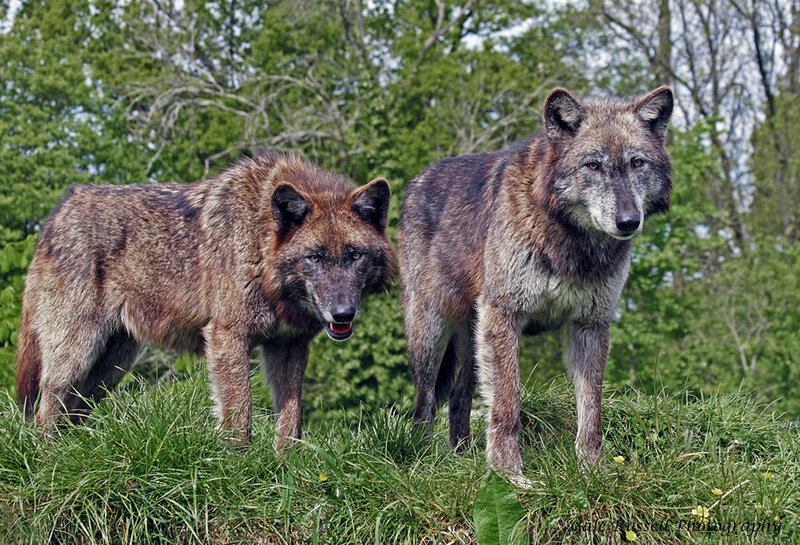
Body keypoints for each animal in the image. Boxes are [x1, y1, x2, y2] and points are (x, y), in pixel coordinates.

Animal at [16, 153, 395, 449]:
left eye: (355, 255)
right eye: (314, 258)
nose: (343, 313)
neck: (258, 242)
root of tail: (60, 211)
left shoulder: (290, 345)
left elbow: (290, 420)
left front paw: (285, 468)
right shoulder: (227, 337)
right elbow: (239, 414)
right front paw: (240, 470)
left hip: (109, 368)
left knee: (72, 411)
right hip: (78, 353)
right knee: (46, 405)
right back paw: (50, 458)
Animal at [398, 87, 673, 479]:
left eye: (637, 163)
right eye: (592, 165)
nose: (628, 221)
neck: (570, 240)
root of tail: (417, 180)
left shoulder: (591, 324)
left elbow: (592, 409)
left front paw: (592, 469)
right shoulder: (504, 315)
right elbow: (507, 403)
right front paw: (508, 473)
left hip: (473, 340)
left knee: (460, 398)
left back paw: (462, 457)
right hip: (431, 334)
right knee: (425, 401)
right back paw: (423, 460)